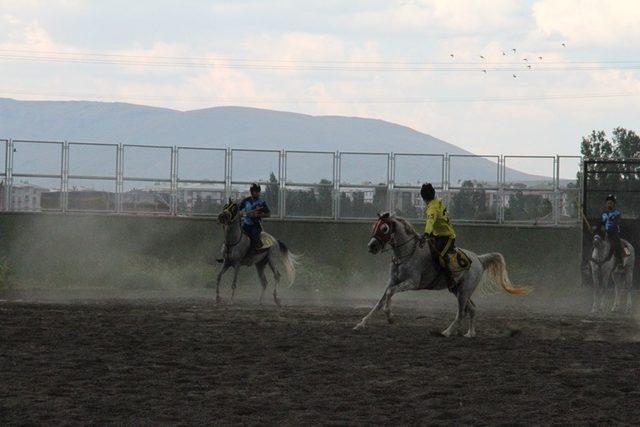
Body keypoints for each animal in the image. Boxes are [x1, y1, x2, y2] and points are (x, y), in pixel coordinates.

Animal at [352, 214, 528, 338]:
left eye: (384, 229)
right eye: (374, 226)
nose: (372, 246)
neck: (408, 252)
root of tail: (478, 259)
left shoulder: (412, 283)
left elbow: (389, 294)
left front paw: (389, 316)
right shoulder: (392, 281)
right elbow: (380, 301)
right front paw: (361, 324)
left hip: (464, 291)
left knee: (461, 312)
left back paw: (446, 332)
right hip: (459, 290)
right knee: (472, 309)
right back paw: (470, 333)